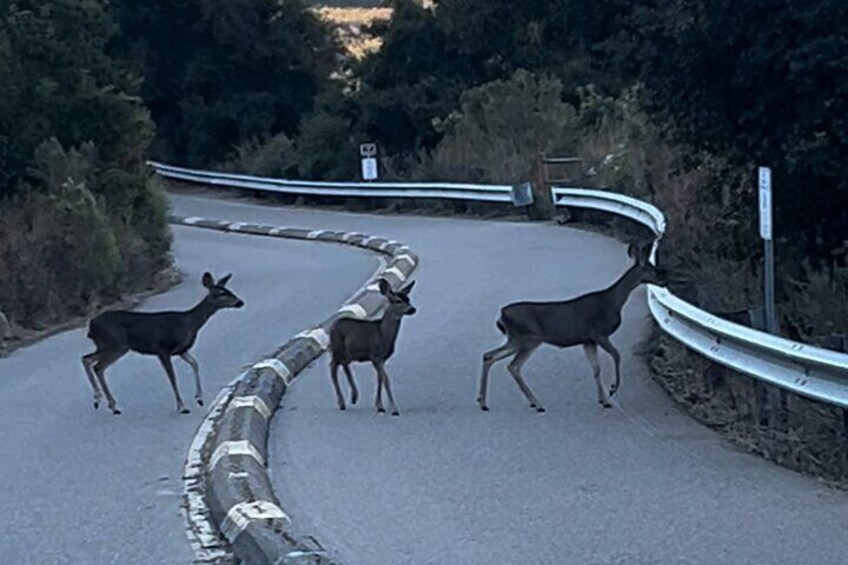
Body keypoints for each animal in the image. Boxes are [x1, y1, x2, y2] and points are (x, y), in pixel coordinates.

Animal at [81, 270, 245, 412]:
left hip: (108, 346)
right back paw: (111, 405)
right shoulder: (162, 349)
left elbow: (195, 364)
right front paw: (182, 406)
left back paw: (101, 400)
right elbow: (173, 377)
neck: (188, 323)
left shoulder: (182, 350)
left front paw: (199, 398)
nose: (240, 302)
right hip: (114, 345)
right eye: (221, 294)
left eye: (229, 291)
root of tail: (91, 324)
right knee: (97, 366)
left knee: (87, 359)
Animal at [326, 278, 416, 414]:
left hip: (348, 353)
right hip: (337, 348)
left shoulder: (381, 359)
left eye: (408, 299)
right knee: (332, 368)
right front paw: (394, 408)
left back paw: (354, 396)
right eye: (398, 300)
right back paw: (342, 403)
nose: (412, 309)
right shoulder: (375, 355)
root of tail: (332, 326)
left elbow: (379, 379)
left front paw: (380, 406)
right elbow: (385, 379)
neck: (383, 334)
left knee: (343, 365)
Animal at [476, 240, 664, 412]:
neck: (614, 302)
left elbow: (596, 369)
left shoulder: (588, 341)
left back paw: (483, 402)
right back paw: (536, 403)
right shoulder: (599, 333)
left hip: (514, 339)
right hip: (530, 338)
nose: (664, 280)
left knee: (488, 356)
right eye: (652, 269)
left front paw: (603, 400)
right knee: (513, 366)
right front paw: (612, 389)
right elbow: (617, 355)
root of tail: (502, 314)